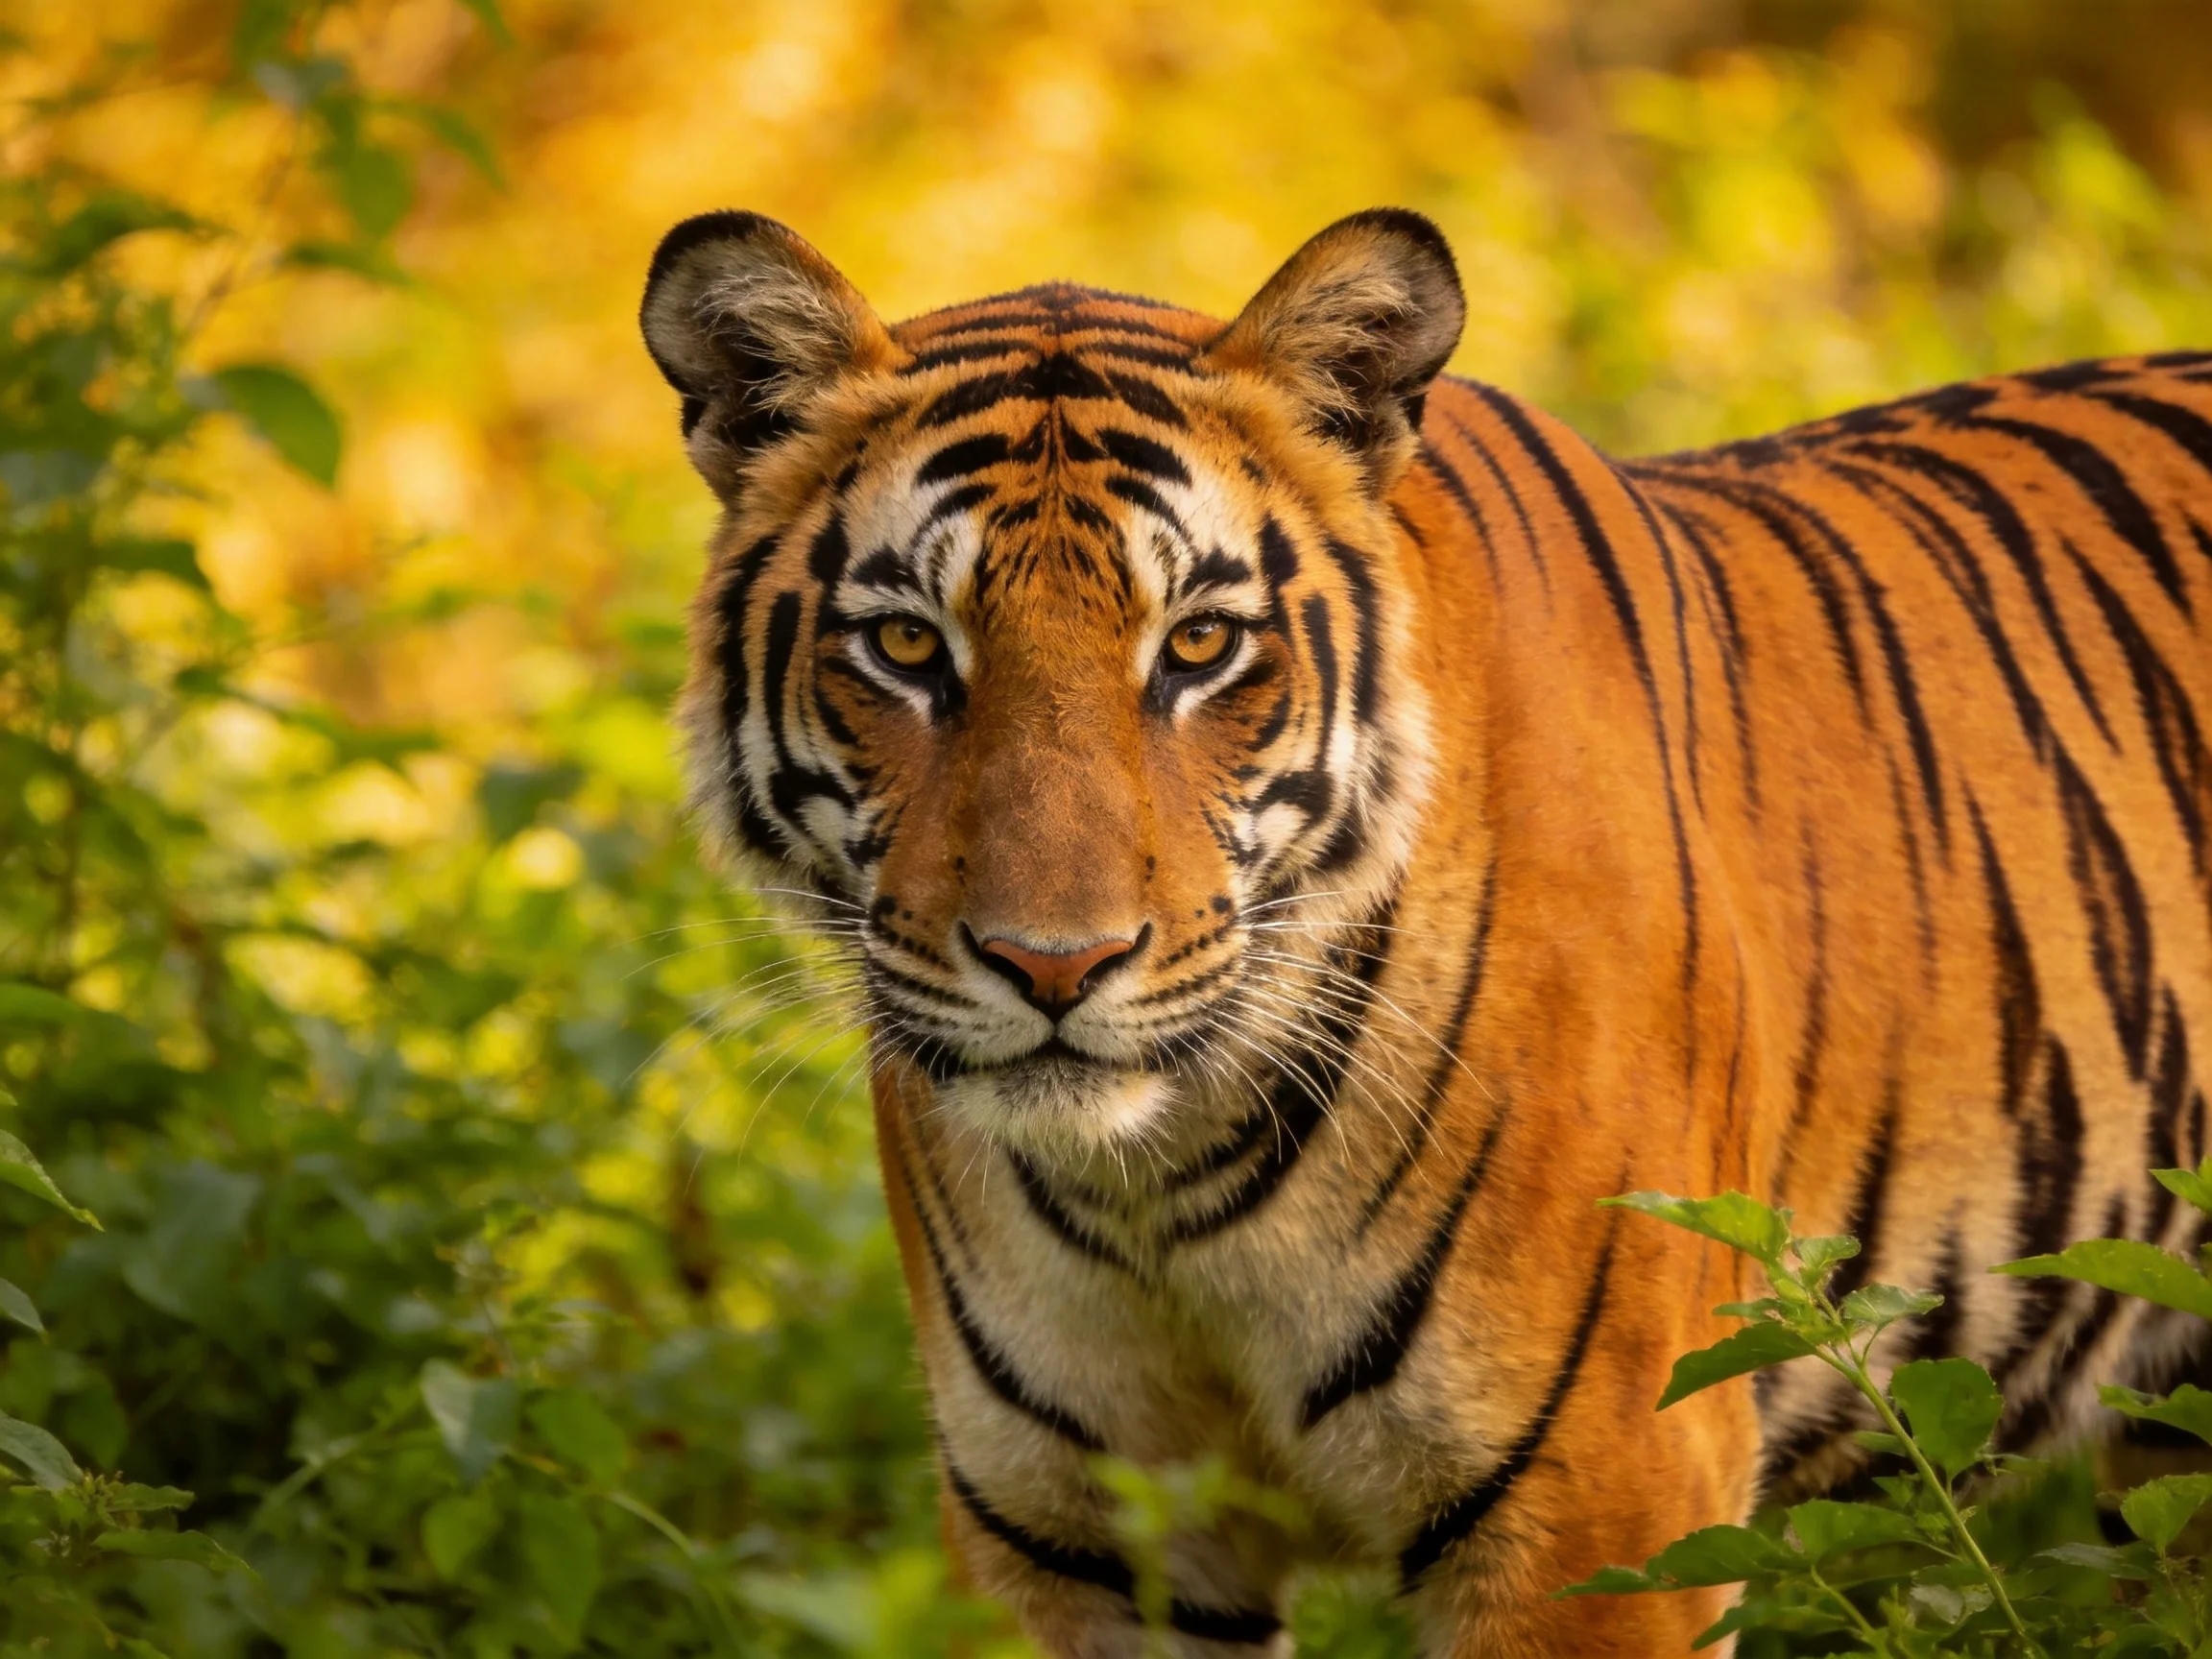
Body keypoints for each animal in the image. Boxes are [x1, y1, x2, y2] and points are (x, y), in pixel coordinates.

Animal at [638, 206, 2212, 1656]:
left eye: (1198, 646)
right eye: (908, 645)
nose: (1055, 965)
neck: (1161, 1188)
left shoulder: (1608, 1509)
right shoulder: (1066, 1537)